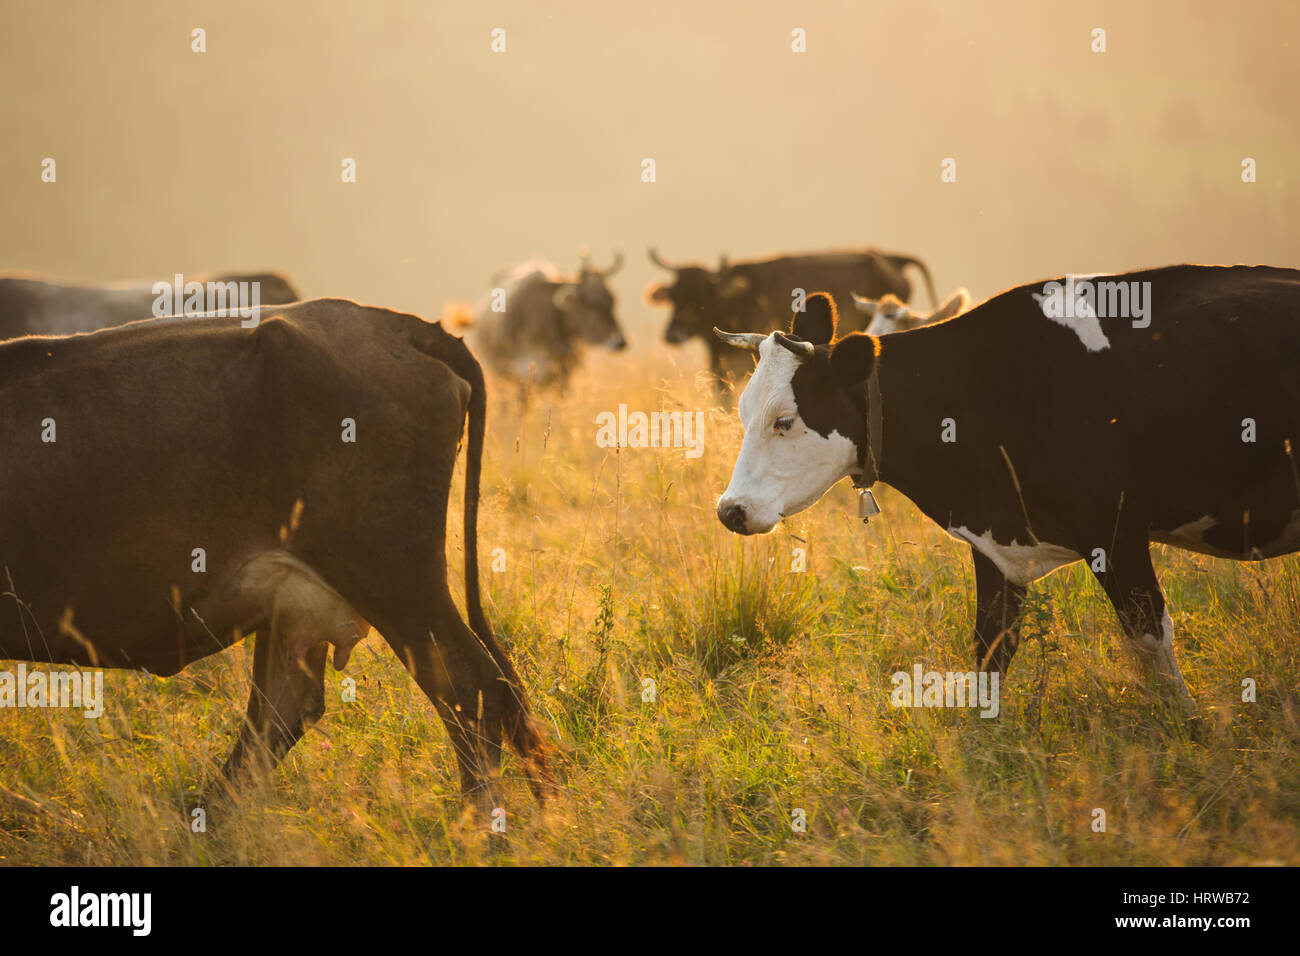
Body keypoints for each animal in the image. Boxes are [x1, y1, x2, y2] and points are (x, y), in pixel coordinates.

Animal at [0, 298, 549, 806]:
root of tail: (389, 322)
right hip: (302, 599)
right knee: (280, 711)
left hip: (393, 580)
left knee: (467, 687)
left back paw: (479, 830)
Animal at [713, 266, 1300, 709]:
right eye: (742, 412)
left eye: (784, 420)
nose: (729, 511)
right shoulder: (994, 545)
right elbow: (992, 646)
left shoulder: (1116, 531)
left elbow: (1149, 635)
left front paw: (1186, 725)